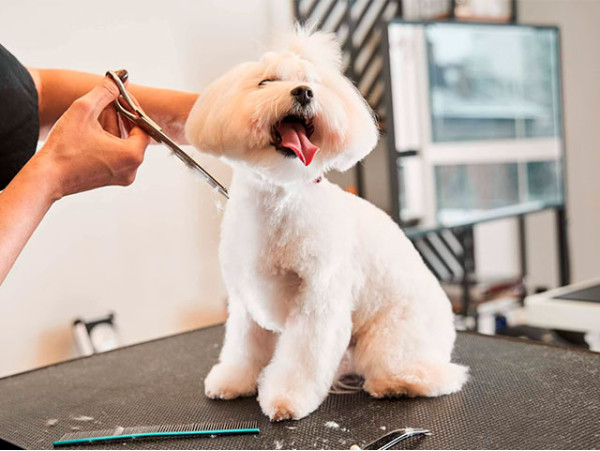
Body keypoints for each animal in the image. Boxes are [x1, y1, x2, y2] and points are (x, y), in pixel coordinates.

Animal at [185, 30, 466, 422]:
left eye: (314, 84)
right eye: (266, 82)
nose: (304, 92)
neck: (280, 197)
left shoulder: (318, 300)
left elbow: (301, 358)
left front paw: (286, 399)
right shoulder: (245, 301)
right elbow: (244, 348)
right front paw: (234, 380)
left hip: (392, 336)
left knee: (436, 374)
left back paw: (396, 383)